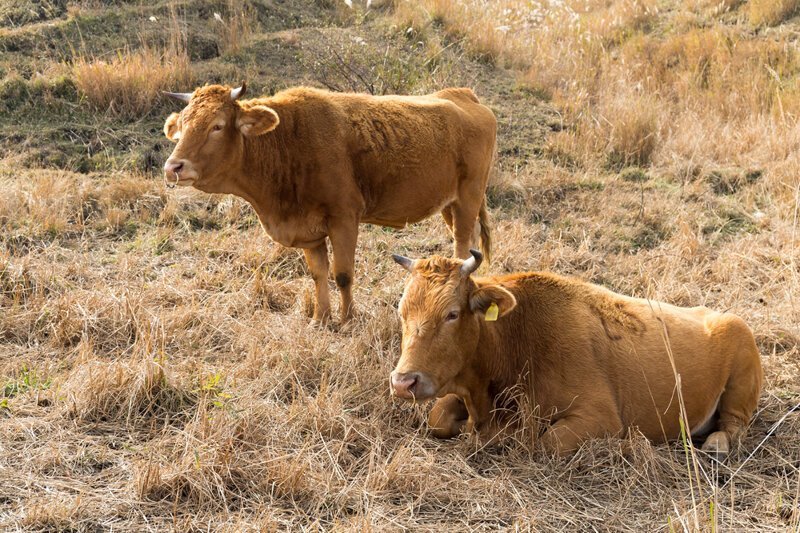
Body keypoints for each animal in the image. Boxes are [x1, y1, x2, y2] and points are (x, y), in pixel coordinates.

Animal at [162, 83, 494, 324]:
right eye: (183, 125)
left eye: (217, 126)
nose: (173, 166)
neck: (288, 142)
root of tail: (464, 96)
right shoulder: (309, 232)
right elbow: (318, 274)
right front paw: (320, 319)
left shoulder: (344, 219)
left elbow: (342, 274)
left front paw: (347, 320)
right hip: (449, 204)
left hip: (468, 197)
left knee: (462, 243)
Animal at [390, 248, 764, 454]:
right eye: (402, 311)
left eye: (452, 313)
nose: (403, 382)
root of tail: (724, 317)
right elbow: (438, 418)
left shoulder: (601, 418)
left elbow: (547, 443)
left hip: (740, 374)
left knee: (735, 424)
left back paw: (716, 445)